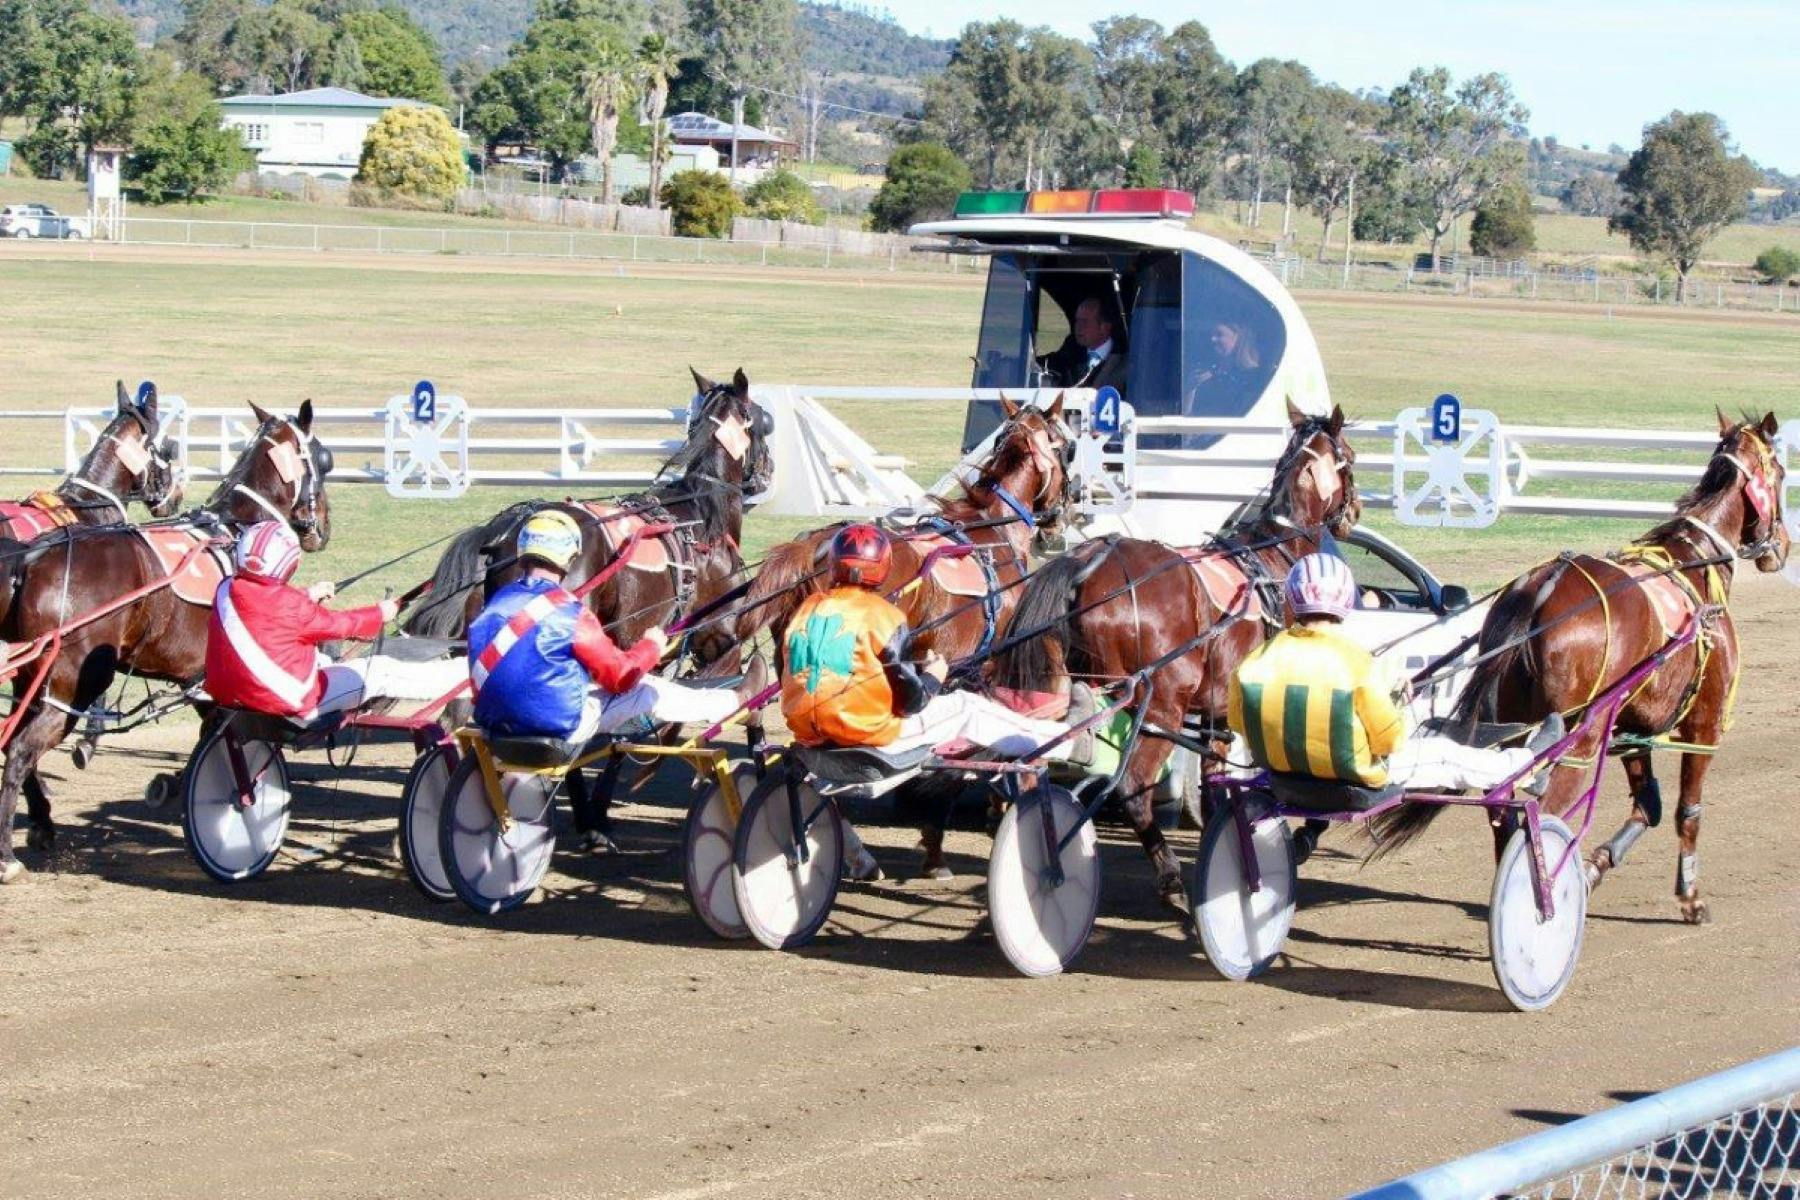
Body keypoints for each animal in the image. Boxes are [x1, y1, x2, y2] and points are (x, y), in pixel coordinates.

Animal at [0, 401, 333, 882]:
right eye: (324, 458)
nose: (321, 527)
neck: (235, 531)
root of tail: (35, 558)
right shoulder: (218, 678)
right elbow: (231, 746)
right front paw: (238, 802)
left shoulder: (194, 678)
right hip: (71, 686)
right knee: (20, 750)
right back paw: (8, 854)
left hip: (30, 679)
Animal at [731, 394, 1075, 877]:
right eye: (1069, 446)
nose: (1062, 516)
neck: (992, 533)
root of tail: (814, 547)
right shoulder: (982, 668)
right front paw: (941, 840)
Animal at [993, 402, 1359, 904]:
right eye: (1352, 456)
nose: (1354, 510)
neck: (1274, 554)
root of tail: (1086, 563)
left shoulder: (1216, 714)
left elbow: (1213, 787)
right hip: (1159, 708)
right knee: (1132, 786)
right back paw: (1167, 877)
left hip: (1060, 688)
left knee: (1034, 772)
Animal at [1369, 412, 1788, 925]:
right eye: (1782, 473)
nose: (1781, 546)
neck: (1694, 563)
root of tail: (1540, 588)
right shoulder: (1703, 725)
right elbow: (1687, 811)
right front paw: (1690, 897)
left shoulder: (1630, 727)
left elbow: (1647, 805)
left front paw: (1591, 870)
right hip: (1577, 740)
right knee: (1540, 810)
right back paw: (1541, 897)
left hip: (1513, 723)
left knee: (1503, 813)